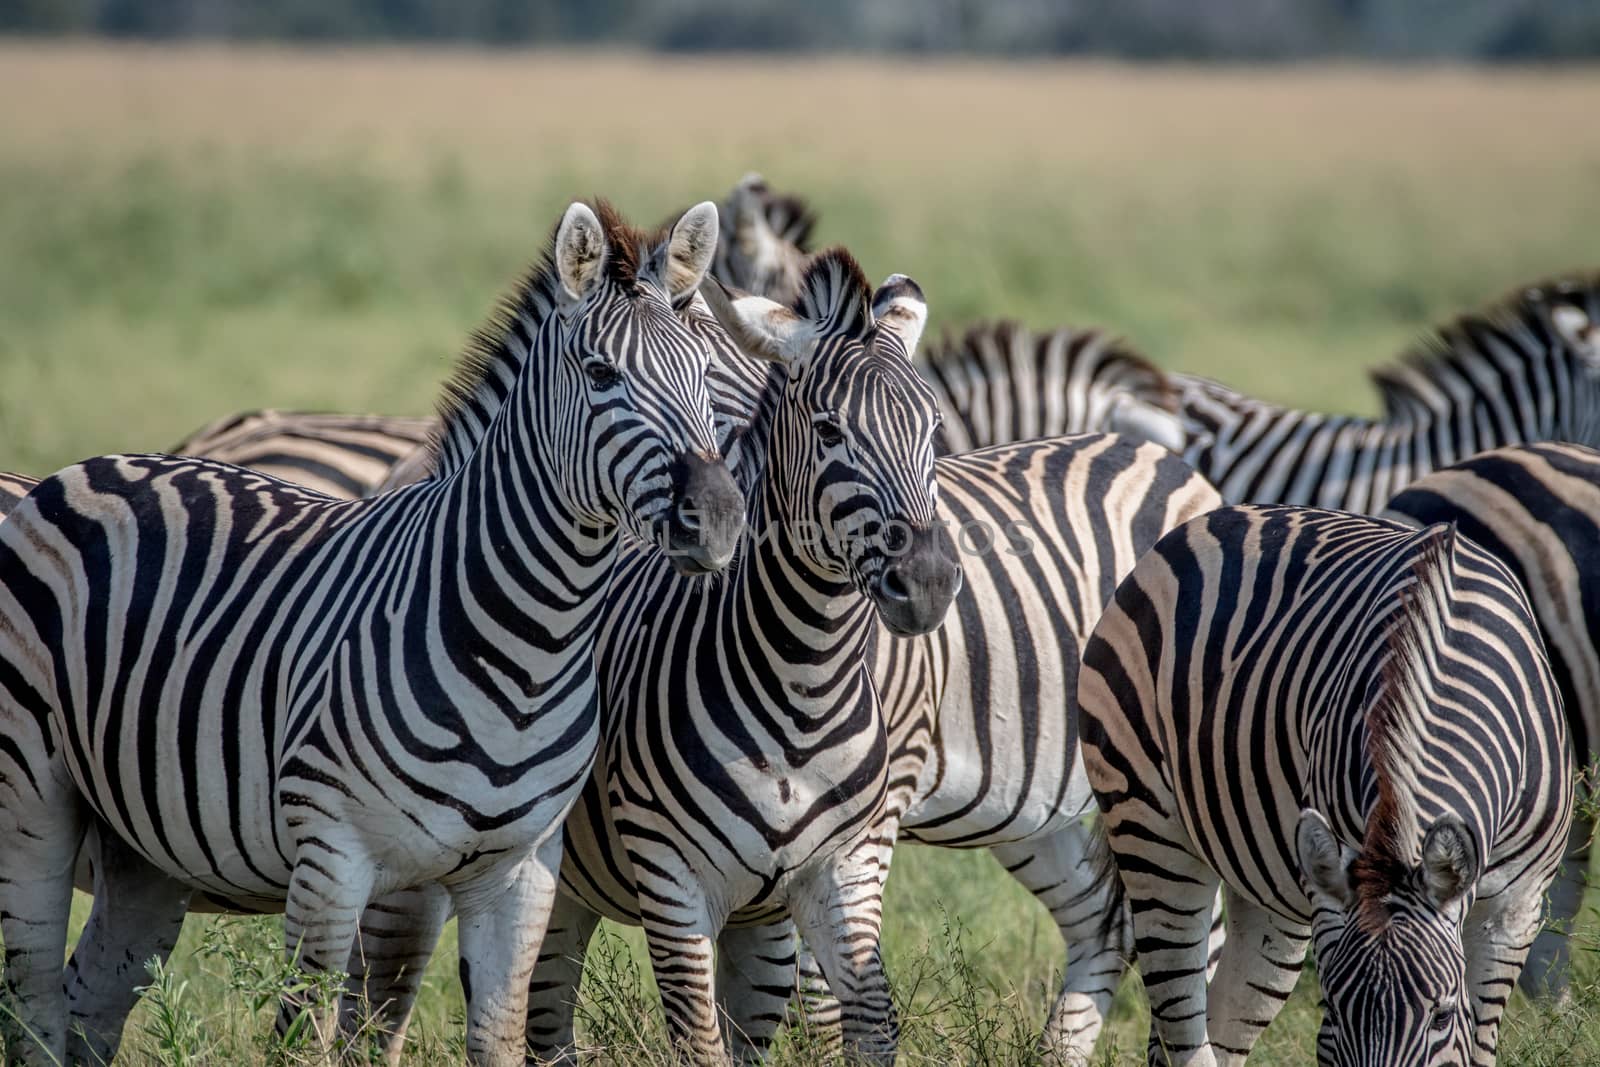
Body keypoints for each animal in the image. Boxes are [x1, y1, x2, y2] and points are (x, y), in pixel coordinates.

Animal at [0, 199, 742, 1067]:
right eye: (600, 376)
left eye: (704, 376)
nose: (719, 519)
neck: (529, 646)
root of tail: (86, 467)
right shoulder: (334, 860)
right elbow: (304, 1036)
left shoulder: (520, 875)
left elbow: (493, 1036)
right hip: (31, 800)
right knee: (34, 1004)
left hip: (144, 842)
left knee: (88, 1001)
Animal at [1081, 505, 1568, 1062]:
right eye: (1329, 1010)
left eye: (1442, 1015)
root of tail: (1212, 518)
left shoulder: (1515, 911)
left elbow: (1479, 1042)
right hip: (1148, 828)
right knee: (1182, 1026)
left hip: (1265, 888)